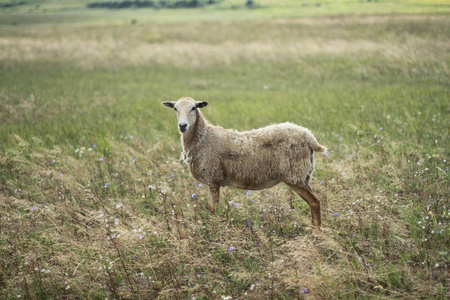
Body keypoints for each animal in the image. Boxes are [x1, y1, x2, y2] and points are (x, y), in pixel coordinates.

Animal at [162, 97, 326, 229]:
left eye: (194, 108)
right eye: (175, 108)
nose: (182, 126)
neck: (204, 138)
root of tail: (309, 137)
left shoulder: (213, 177)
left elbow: (214, 209)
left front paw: (214, 230)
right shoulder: (210, 180)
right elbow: (210, 208)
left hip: (294, 175)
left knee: (314, 202)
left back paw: (316, 233)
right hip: (303, 175)